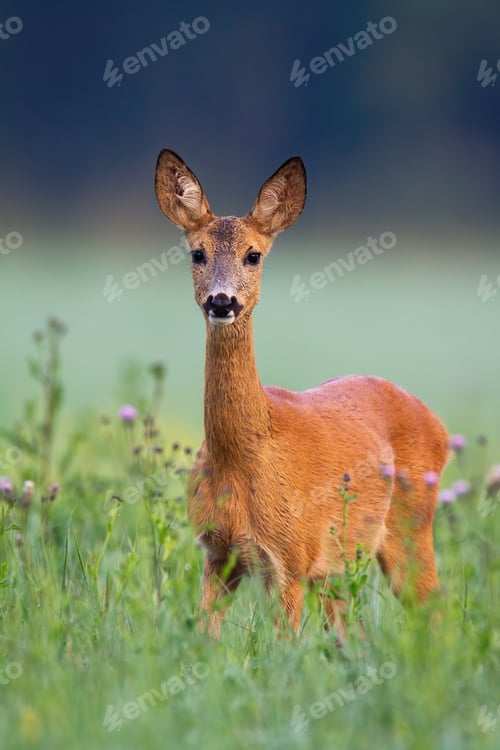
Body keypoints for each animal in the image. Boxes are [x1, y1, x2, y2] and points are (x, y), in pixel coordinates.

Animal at [154, 149, 449, 638]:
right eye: (197, 253)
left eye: (253, 255)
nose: (221, 301)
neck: (245, 457)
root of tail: (439, 425)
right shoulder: (217, 553)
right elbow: (205, 635)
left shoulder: (290, 558)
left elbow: (283, 646)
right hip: (338, 570)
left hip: (411, 527)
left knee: (435, 613)